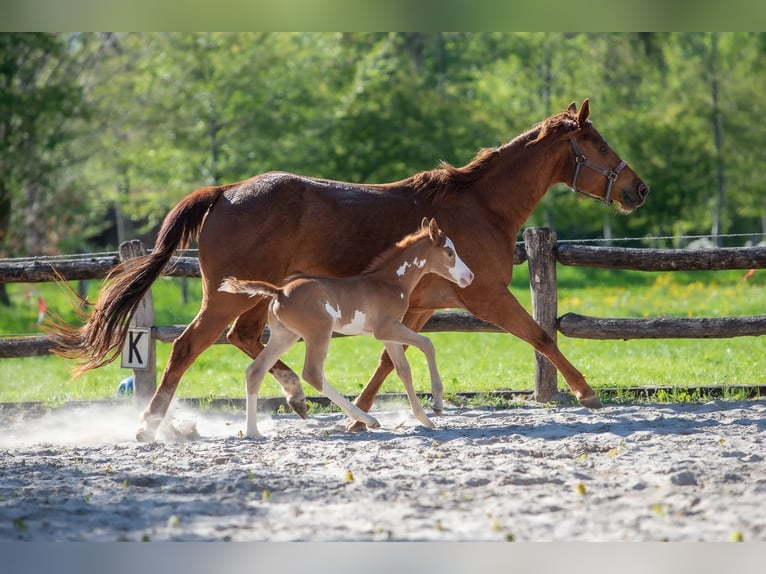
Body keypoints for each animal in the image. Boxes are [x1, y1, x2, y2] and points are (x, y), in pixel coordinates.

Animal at [218, 218, 474, 437]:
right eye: (449, 252)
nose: (469, 277)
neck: (390, 282)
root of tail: (280, 291)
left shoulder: (388, 335)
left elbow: (403, 370)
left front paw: (424, 419)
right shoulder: (386, 329)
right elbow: (427, 344)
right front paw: (438, 404)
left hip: (285, 335)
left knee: (255, 371)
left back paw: (253, 431)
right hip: (319, 333)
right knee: (312, 374)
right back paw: (368, 420)